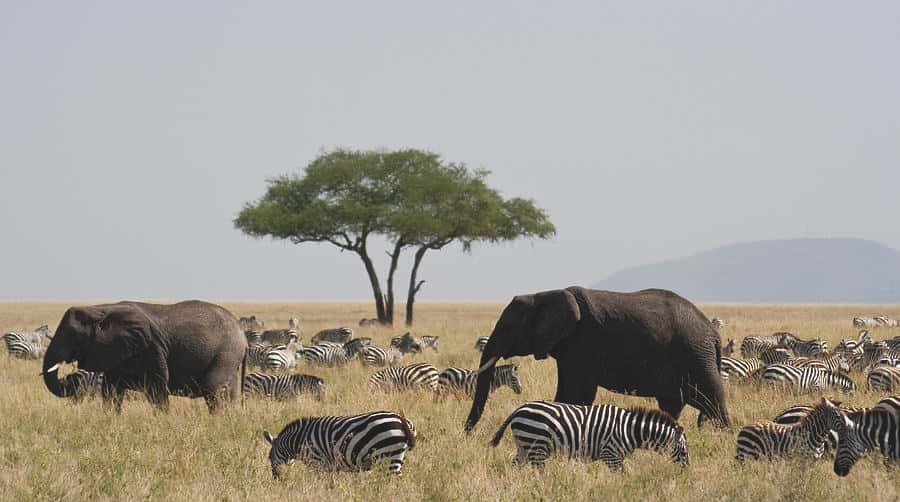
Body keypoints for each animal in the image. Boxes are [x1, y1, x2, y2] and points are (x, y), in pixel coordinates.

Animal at [42, 300, 247, 413]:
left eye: (73, 336)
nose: (69, 379)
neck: (99, 309)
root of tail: (242, 333)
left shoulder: (151, 348)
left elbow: (158, 387)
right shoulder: (115, 351)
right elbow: (110, 390)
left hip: (226, 352)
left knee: (212, 388)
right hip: (230, 355)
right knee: (228, 393)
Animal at [262, 411, 417, 478]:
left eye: (269, 458)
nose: (276, 479)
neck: (300, 441)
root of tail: (401, 419)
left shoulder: (317, 462)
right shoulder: (332, 466)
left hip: (389, 456)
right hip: (398, 455)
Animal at [465, 287, 731, 432]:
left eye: (508, 328)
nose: (467, 433)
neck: (543, 294)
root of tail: (714, 334)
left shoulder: (583, 343)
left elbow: (577, 394)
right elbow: (566, 393)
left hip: (696, 355)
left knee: (712, 400)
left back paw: (723, 435)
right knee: (673, 403)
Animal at [490, 400, 689, 471]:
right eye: (684, 452)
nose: (685, 473)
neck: (629, 430)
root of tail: (519, 409)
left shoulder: (614, 457)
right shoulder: (611, 454)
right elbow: (623, 475)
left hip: (524, 445)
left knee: (515, 467)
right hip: (537, 446)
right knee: (539, 471)